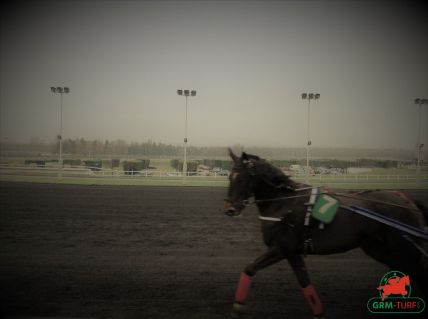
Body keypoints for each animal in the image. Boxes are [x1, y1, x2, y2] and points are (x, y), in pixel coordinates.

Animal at [224, 150, 428, 319]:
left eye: (241, 179)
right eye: (229, 178)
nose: (229, 209)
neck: (285, 203)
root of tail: (408, 202)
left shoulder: (284, 248)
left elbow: (258, 269)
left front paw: (238, 304)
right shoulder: (289, 251)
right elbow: (292, 277)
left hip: (404, 249)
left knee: (418, 273)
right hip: (378, 249)